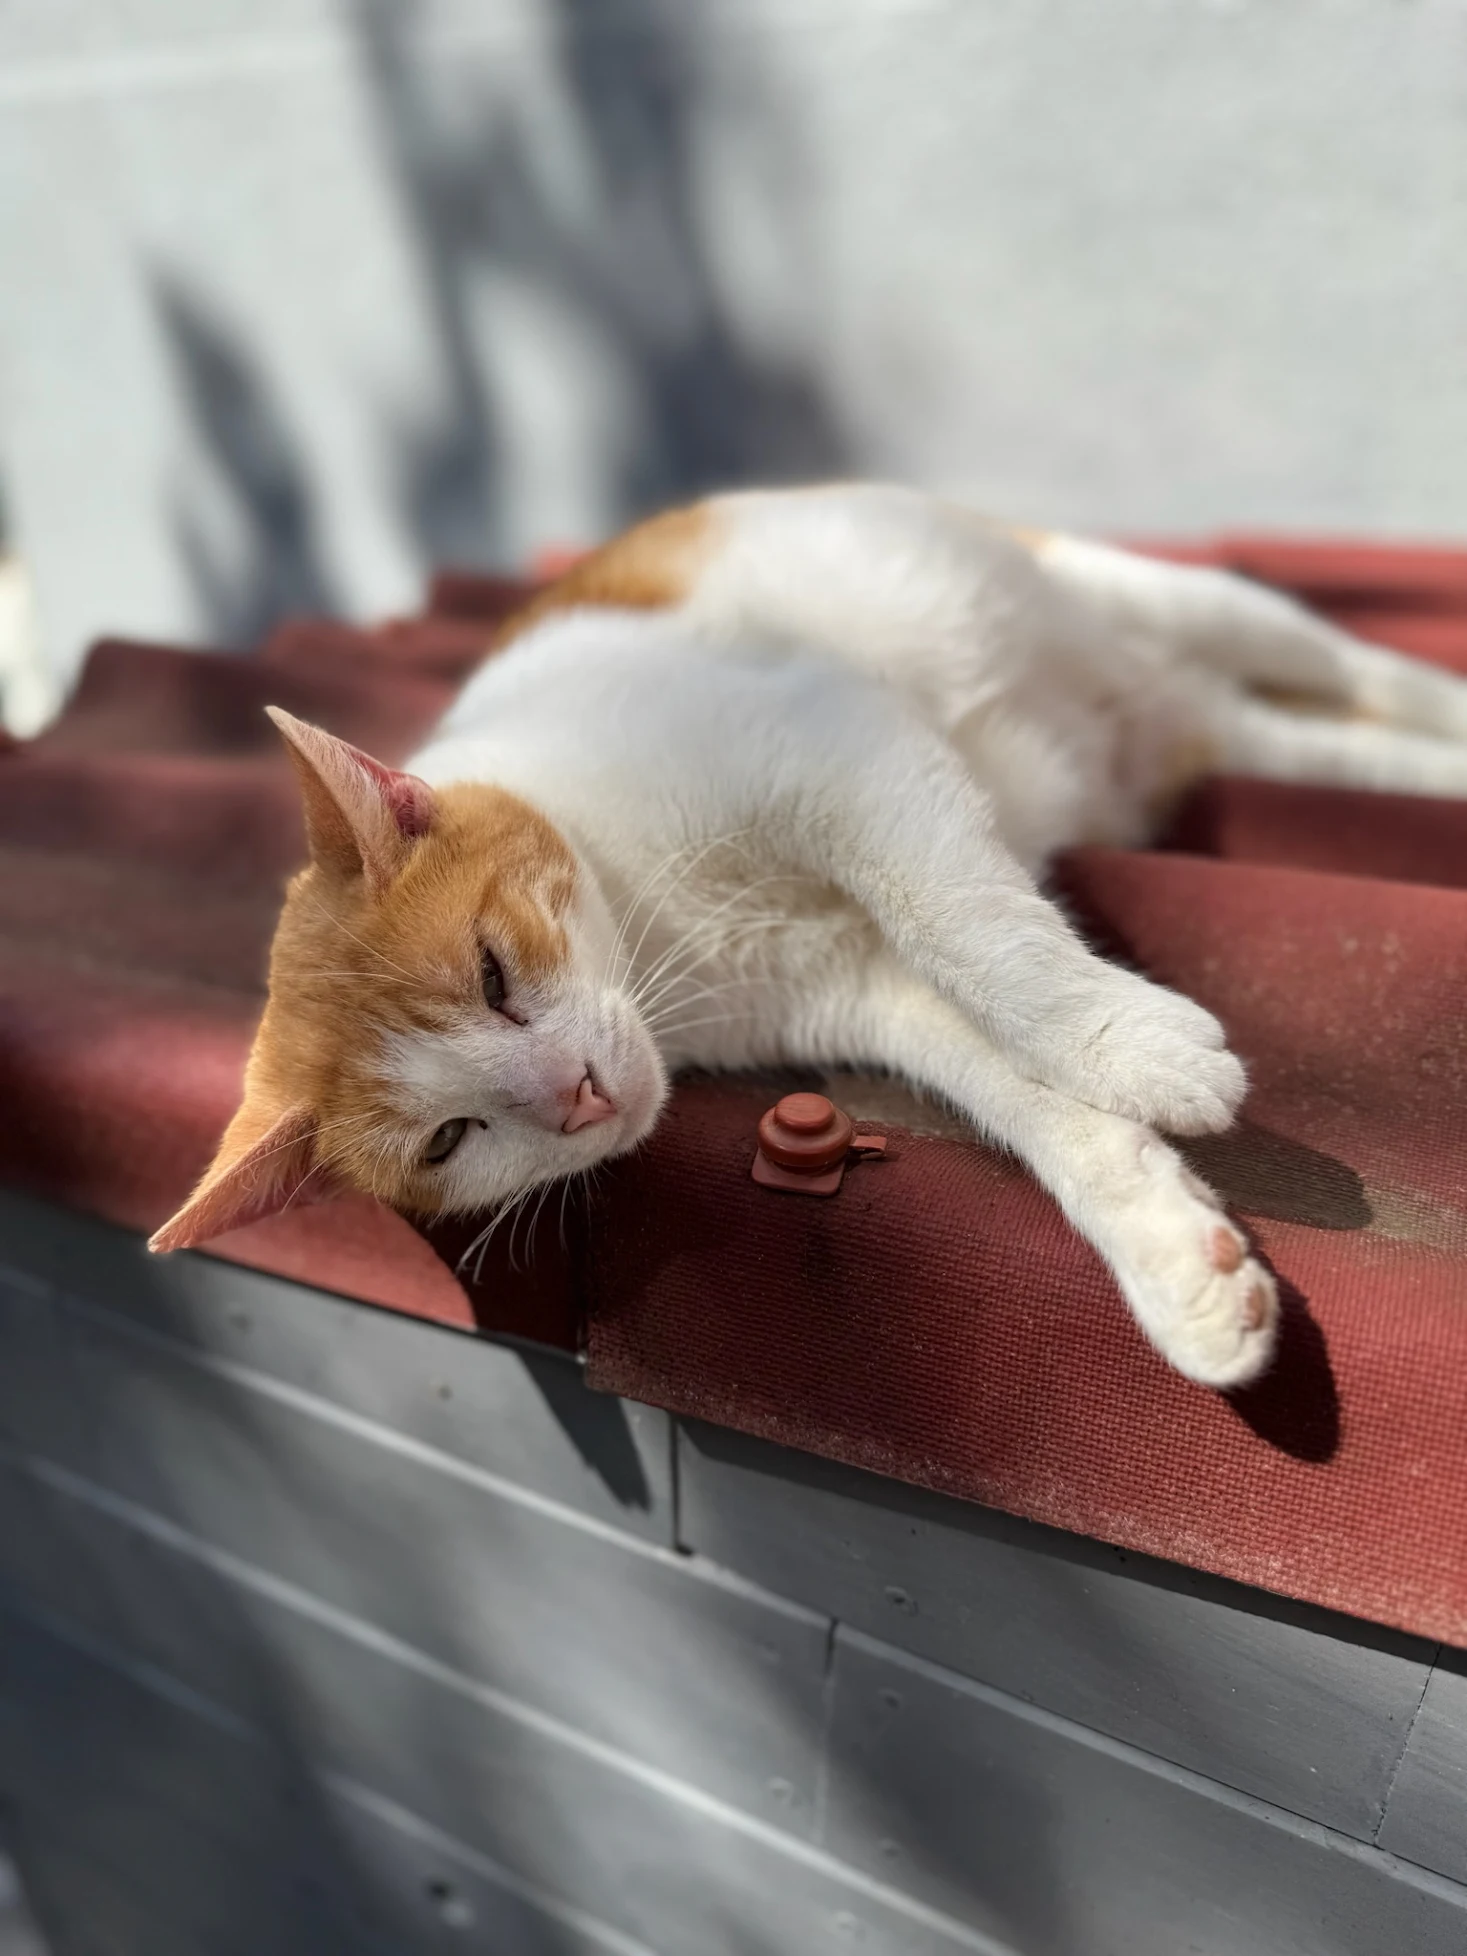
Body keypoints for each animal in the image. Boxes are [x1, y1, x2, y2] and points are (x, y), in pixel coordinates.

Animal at [149, 484, 1467, 1388]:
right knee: (1334, 743)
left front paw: (1130, 1043)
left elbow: (967, 924)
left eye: (493, 974)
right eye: (447, 1141)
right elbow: (1017, 1093)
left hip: (1151, 597)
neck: (660, 927)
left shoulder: (837, 753)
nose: (577, 1097)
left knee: (1358, 669)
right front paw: (1175, 1257)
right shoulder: (861, 990)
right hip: (1235, 731)